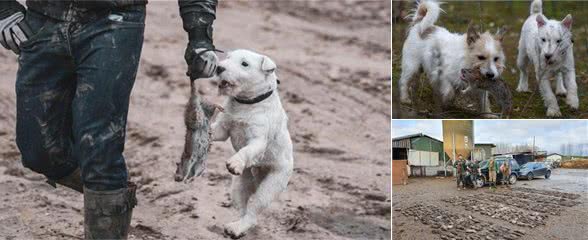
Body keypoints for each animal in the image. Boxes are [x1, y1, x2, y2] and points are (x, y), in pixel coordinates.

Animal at [211, 49, 294, 238]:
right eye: (228, 57)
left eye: (244, 64)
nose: (219, 68)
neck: (246, 103)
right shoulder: (223, 128)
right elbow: (213, 130)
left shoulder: (258, 140)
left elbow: (246, 150)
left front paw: (235, 163)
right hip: (239, 185)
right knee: (243, 207)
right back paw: (236, 226)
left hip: (271, 185)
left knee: (253, 210)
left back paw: (237, 229)